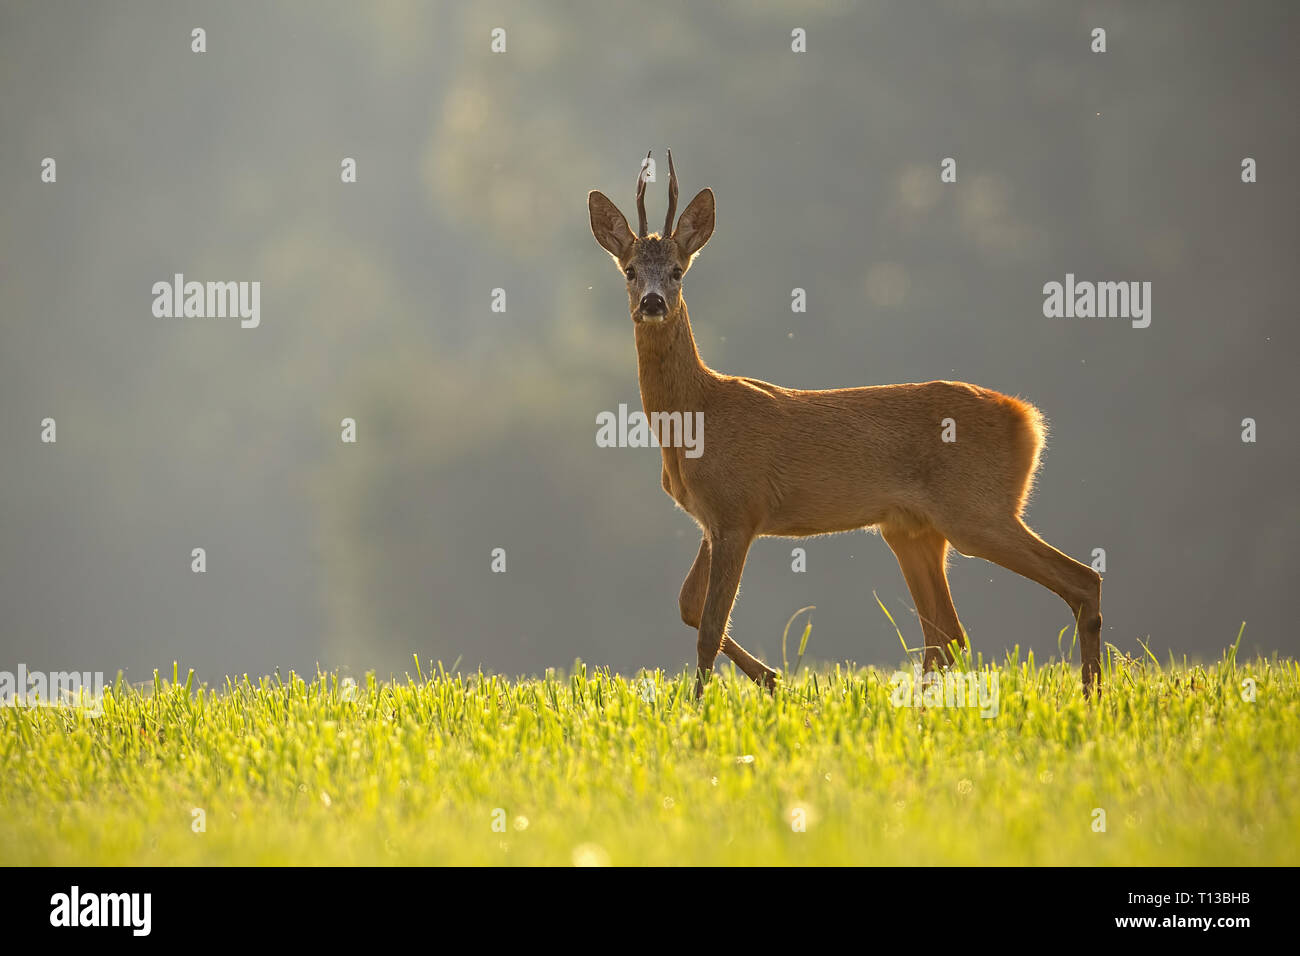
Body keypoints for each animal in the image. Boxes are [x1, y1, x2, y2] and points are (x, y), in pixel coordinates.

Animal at [587, 150, 1103, 699]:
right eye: (630, 270)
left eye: (678, 271)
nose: (653, 302)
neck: (695, 416)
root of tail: (1028, 419)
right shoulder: (714, 519)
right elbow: (688, 605)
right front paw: (771, 680)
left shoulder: (738, 510)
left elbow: (708, 626)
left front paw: (703, 705)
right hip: (911, 529)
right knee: (947, 634)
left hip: (976, 509)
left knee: (1080, 581)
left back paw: (1092, 695)